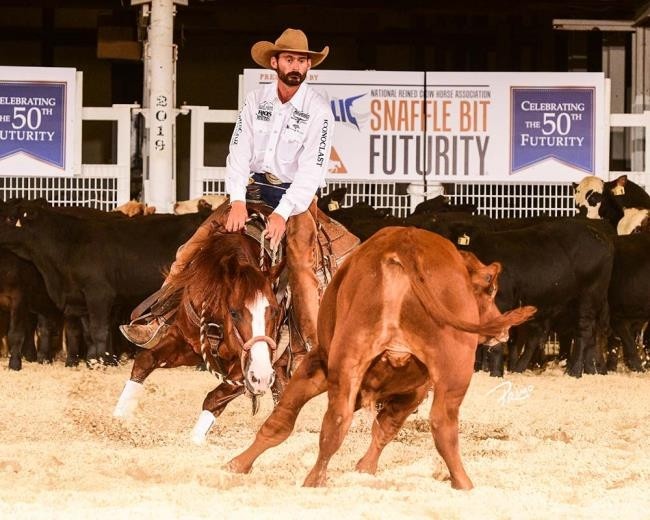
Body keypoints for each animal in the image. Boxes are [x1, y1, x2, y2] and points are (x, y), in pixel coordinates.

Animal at [113, 222, 289, 445]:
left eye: (274, 311)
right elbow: (145, 360)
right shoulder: (186, 344)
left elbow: (215, 397)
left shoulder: (248, 367)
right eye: (234, 312)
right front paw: (118, 419)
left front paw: (195, 439)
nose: (262, 376)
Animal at [226, 227, 535, 489]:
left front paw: (238, 463)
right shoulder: (405, 387)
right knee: (437, 425)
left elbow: (283, 421)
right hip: (445, 368)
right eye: (490, 292)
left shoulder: (323, 367)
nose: (503, 331)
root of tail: (406, 245)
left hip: (366, 361)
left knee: (339, 421)